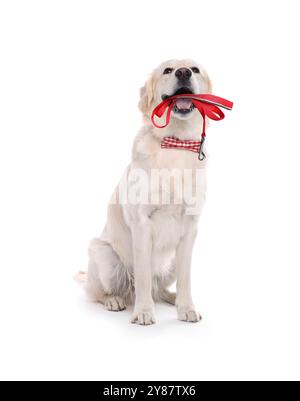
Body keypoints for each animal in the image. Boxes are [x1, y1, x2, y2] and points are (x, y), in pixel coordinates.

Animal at [84, 59, 211, 324]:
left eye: (194, 69)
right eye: (167, 70)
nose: (183, 72)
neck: (176, 142)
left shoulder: (191, 227)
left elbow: (186, 278)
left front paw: (186, 307)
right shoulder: (141, 224)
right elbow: (142, 276)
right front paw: (143, 311)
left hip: (170, 262)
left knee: (158, 288)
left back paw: (172, 298)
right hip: (104, 254)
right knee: (101, 291)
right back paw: (114, 300)